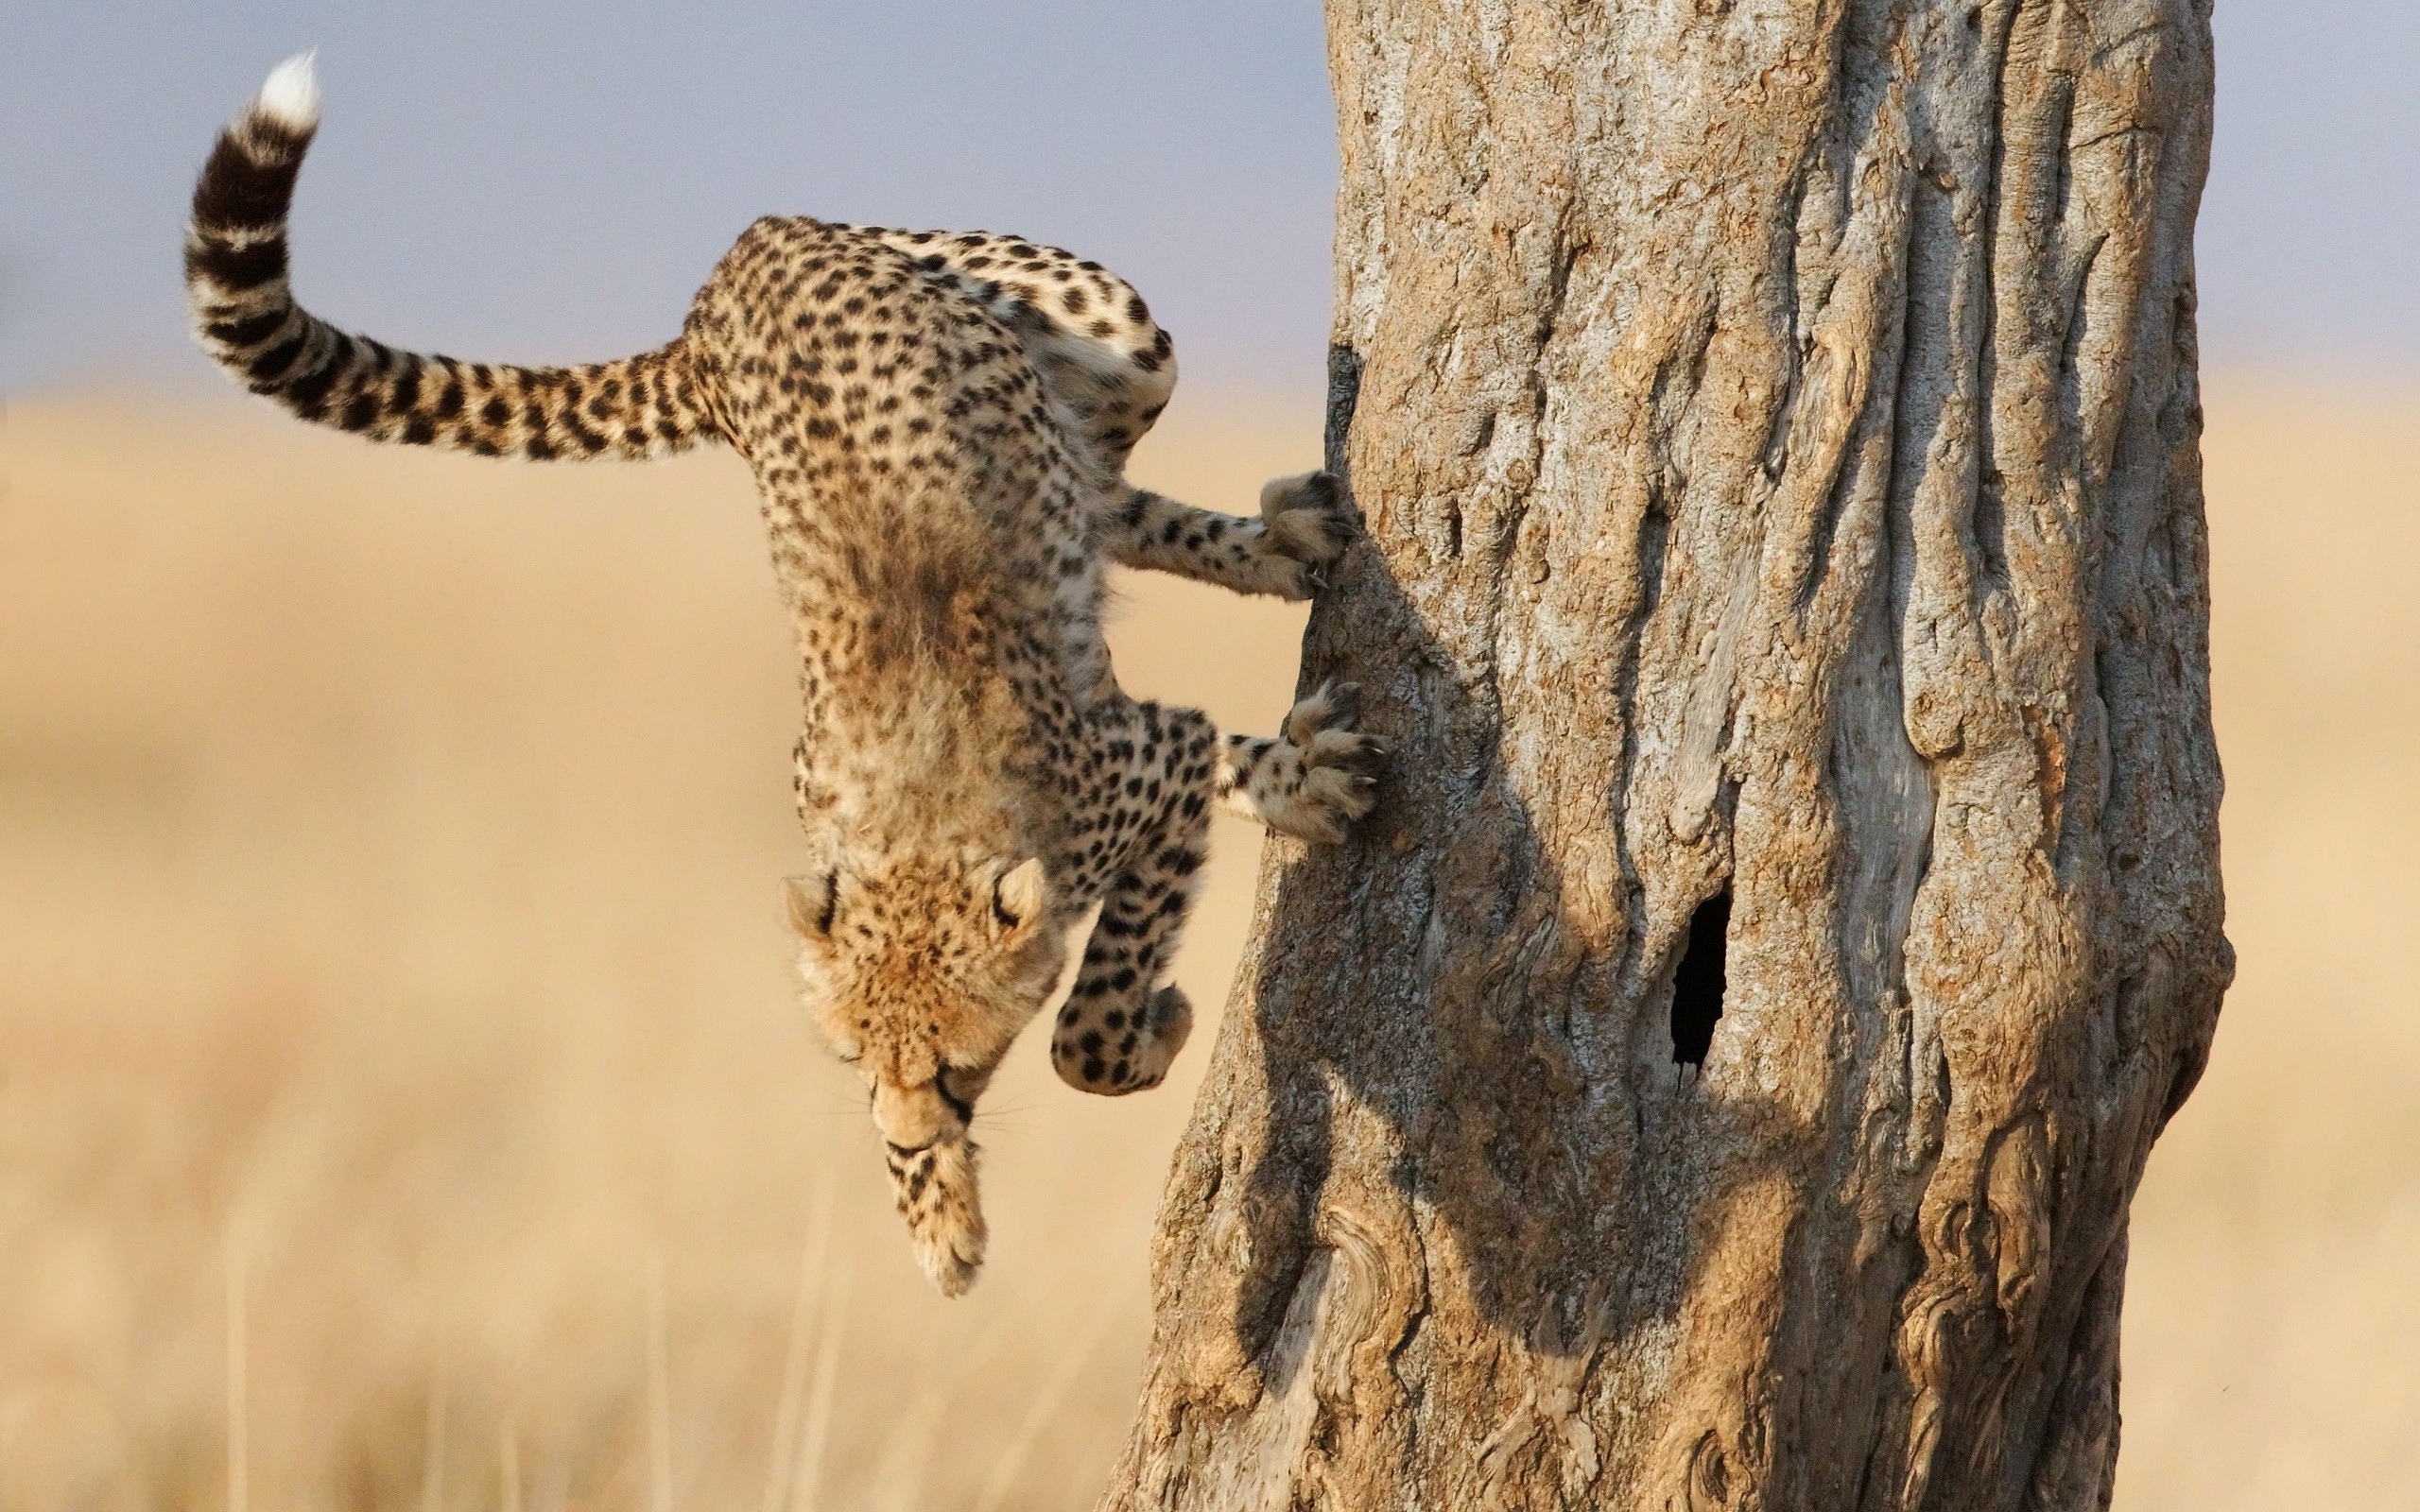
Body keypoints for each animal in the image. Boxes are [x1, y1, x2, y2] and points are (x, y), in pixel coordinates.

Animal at [183, 54, 1384, 1295]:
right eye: (857, 1057)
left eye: (956, 1065)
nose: (907, 1131)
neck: (920, 823)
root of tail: (730, 273)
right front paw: (937, 1219)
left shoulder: (1146, 765)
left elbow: (1087, 1026)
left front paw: (1158, 1008)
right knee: (1099, 491)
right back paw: (1278, 560)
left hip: (1112, 320)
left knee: (1104, 476)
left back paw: (1278, 561)